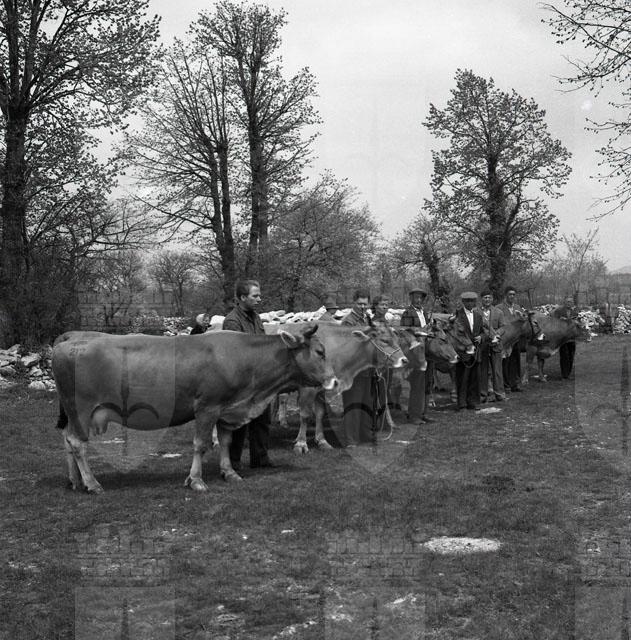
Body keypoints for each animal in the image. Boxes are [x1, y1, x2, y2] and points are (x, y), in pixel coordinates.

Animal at [52, 324, 337, 493]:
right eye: (320, 351)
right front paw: (196, 480)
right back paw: (92, 483)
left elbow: (225, 441)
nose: (334, 380)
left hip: (74, 412)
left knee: (67, 440)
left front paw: (229, 472)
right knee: (77, 443)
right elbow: (201, 444)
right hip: (81, 408)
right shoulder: (207, 408)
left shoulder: (226, 409)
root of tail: (70, 339)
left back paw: (75, 480)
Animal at [265, 321, 409, 453]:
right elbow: (305, 414)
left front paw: (322, 441)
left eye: (397, 340)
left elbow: (320, 413)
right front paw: (301, 443)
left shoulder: (321, 390)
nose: (405, 360)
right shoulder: (307, 389)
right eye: (385, 340)